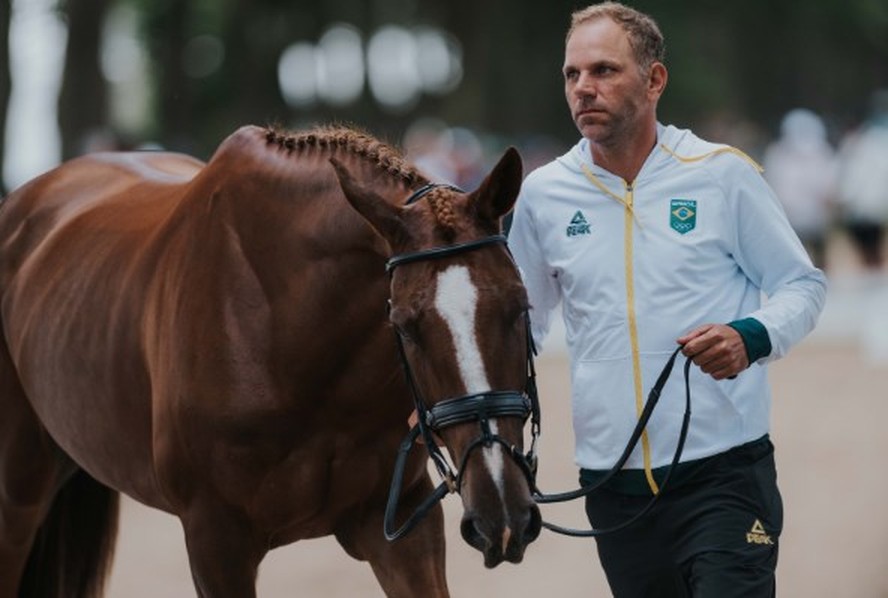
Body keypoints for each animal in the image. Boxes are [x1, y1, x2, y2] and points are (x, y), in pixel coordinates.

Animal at [0, 124, 540, 596]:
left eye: (521, 306)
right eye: (405, 326)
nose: (500, 510)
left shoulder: (400, 527)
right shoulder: (215, 543)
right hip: (18, 497)